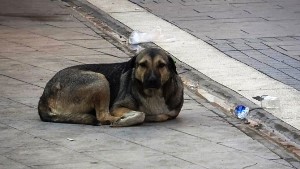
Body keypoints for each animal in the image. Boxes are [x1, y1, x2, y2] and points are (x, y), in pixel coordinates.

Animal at [37, 46, 183, 126]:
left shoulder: (171, 113)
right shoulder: (117, 107)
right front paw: (129, 118)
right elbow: (141, 114)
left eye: (161, 65)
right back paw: (116, 120)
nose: (152, 80)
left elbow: (161, 115)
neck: (153, 93)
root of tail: (44, 96)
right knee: (102, 116)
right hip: (100, 80)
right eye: (143, 65)